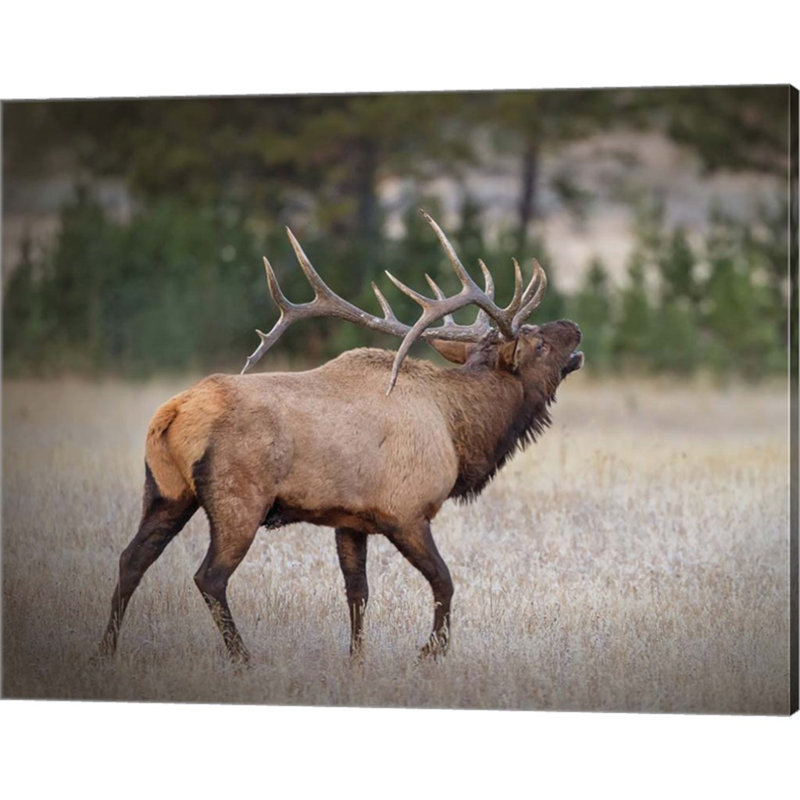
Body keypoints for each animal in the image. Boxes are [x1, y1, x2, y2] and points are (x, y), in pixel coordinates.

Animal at [98, 211, 583, 664]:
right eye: (538, 343)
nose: (573, 326)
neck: (458, 430)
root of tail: (171, 413)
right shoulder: (405, 511)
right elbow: (444, 581)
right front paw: (431, 651)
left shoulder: (350, 519)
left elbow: (357, 594)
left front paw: (356, 660)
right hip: (239, 499)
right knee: (209, 577)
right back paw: (242, 659)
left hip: (166, 492)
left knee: (130, 559)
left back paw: (106, 649)